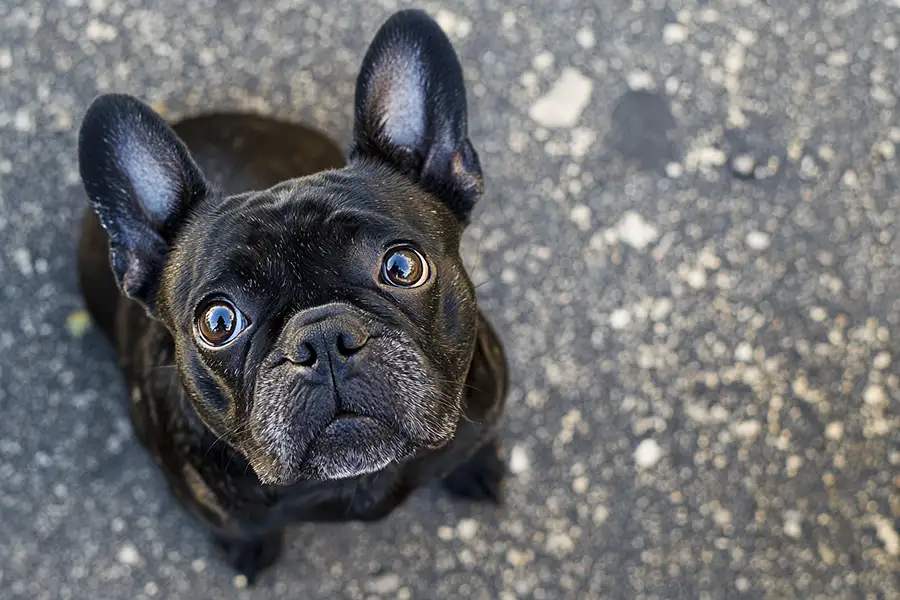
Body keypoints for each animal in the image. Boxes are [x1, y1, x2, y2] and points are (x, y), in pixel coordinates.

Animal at [74, 8, 510, 580]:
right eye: (218, 323)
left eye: (402, 267)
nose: (323, 339)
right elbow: (239, 529)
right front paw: (249, 549)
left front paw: (476, 467)